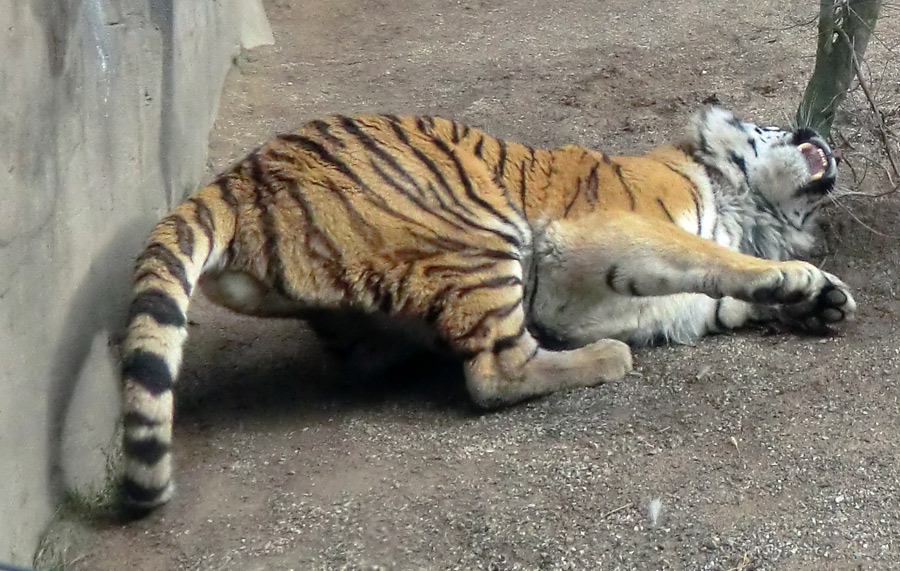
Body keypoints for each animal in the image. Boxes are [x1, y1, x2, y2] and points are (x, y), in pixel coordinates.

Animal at [121, 106, 856, 510]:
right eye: (775, 123)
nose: (816, 126)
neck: (745, 206)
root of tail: (238, 178)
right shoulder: (603, 236)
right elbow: (711, 263)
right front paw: (800, 277)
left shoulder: (580, 300)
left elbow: (699, 303)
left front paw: (818, 302)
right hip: (479, 232)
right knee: (495, 373)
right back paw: (606, 360)